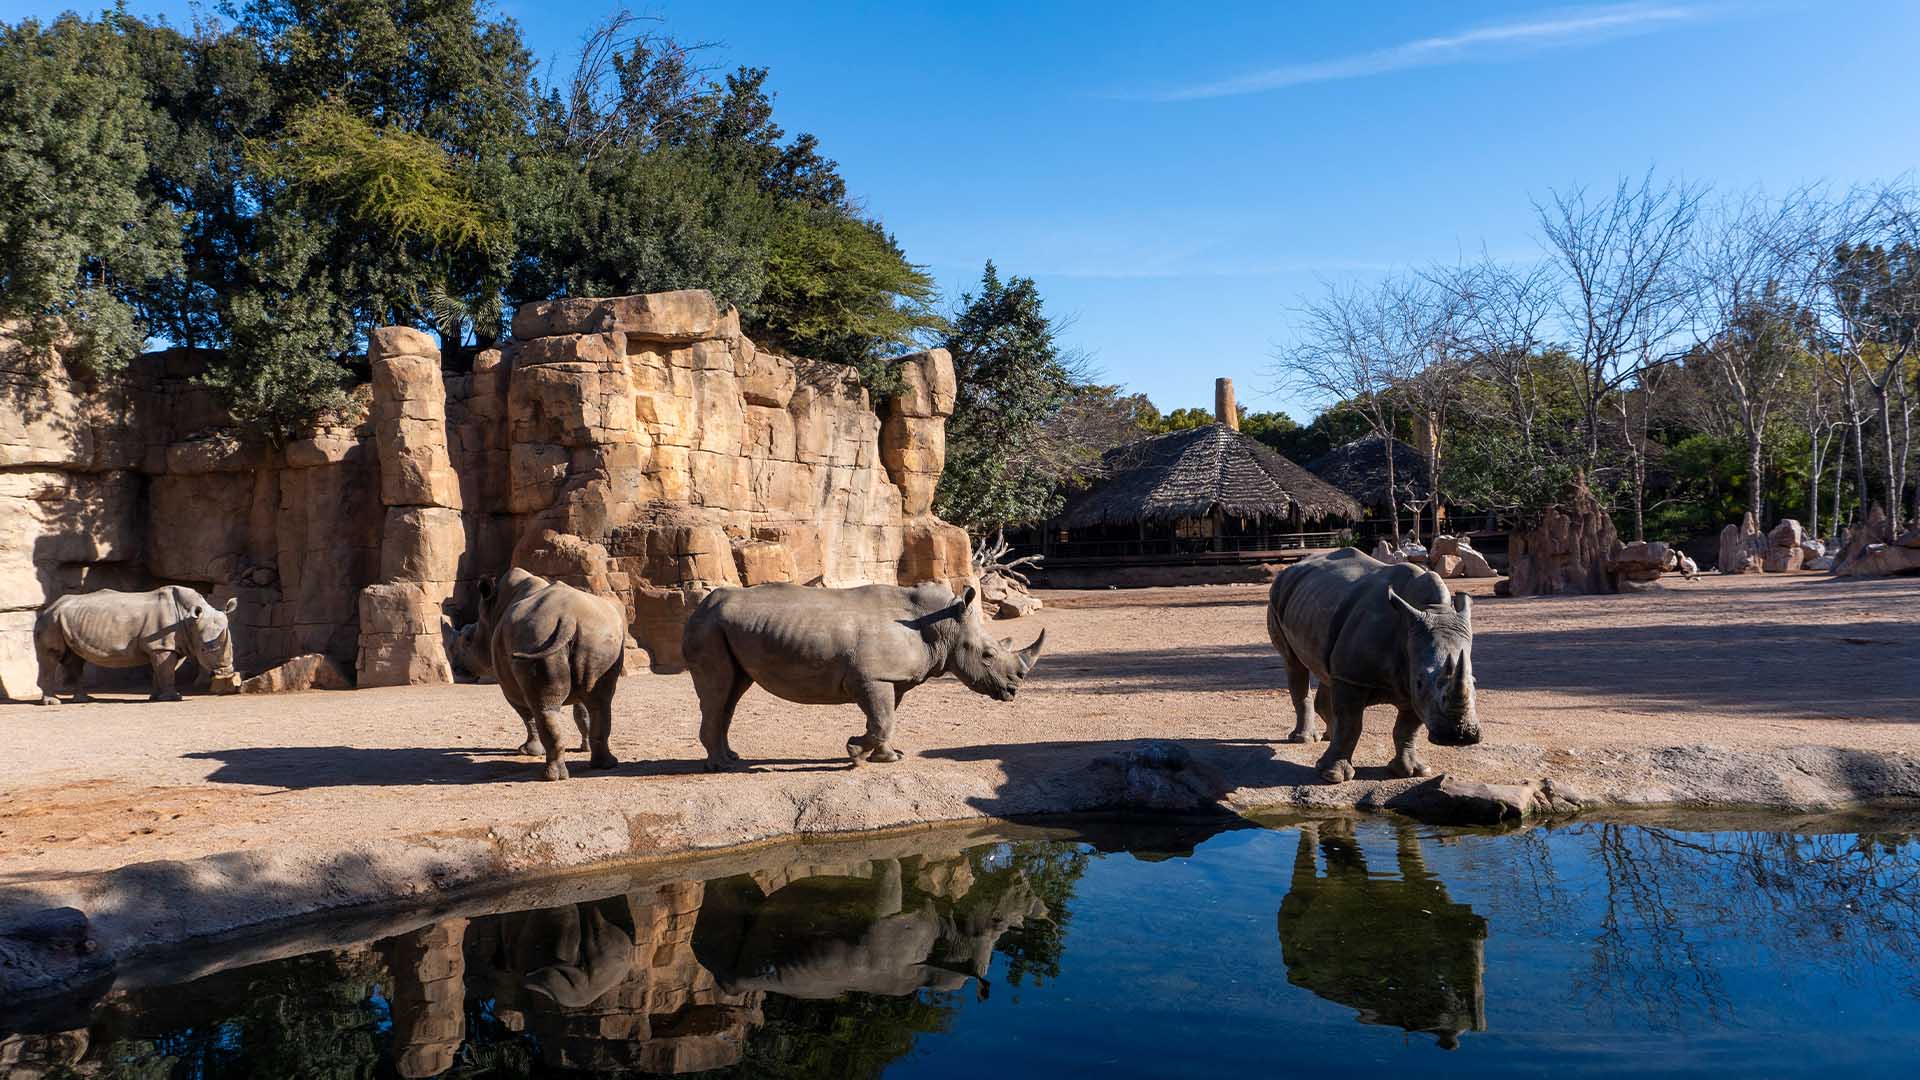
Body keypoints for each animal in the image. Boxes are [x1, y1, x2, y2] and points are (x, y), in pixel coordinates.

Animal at [33, 584, 238, 703]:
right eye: (204, 649)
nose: (226, 673)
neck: (188, 618)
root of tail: (48, 607)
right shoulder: (162, 646)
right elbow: (167, 671)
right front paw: (173, 698)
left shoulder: (168, 645)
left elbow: (163, 670)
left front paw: (156, 697)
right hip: (51, 621)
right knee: (51, 657)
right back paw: (53, 702)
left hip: (64, 620)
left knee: (75, 660)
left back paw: (83, 699)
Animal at [476, 568, 625, 776]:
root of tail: (568, 619)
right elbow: (582, 712)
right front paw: (584, 747)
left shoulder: (509, 688)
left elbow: (527, 716)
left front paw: (527, 752)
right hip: (599, 636)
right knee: (600, 702)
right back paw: (605, 765)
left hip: (535, 636)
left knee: (542, 709)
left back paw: (551, 776)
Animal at [683, 580, 1052, 764]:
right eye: (988, 655)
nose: (1013, 690)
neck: (942, 625)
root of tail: (702, 605)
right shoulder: (870, 677)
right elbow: (882, 720)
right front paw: (853, 751)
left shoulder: (892, 679)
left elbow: (885, 719)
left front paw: (889, 757)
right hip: (709, 627)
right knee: (719, 690)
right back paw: (722, 766)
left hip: (724, 627)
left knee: (732, 693)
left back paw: (731, 757)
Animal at [1259, 549, 1482, 776]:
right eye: (1420, 681)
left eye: (1474, 682)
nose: (1459, 735)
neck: (1432, 608)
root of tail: (1292, 568)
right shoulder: (1354, 678)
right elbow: (1351, 724)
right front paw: (1333, 775)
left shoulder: (1411, 682)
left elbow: (1407, 728)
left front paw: (1411, 771)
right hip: (1277, 596)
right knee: (1294, 662)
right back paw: (1304, 740)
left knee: (1327, 669)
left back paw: (1328, 737)